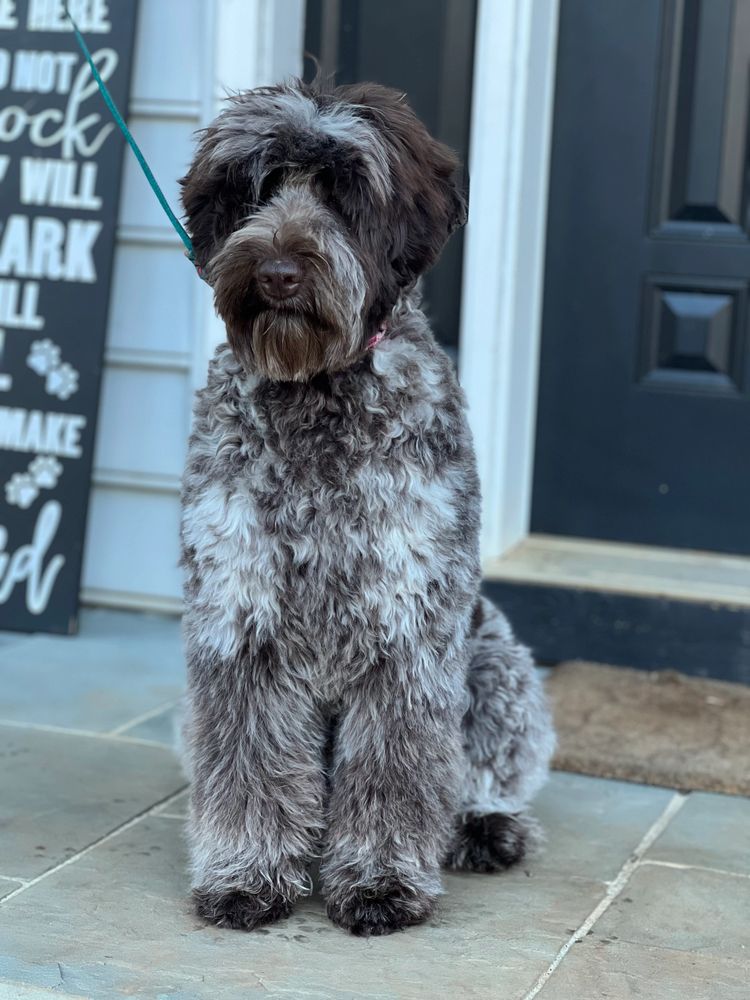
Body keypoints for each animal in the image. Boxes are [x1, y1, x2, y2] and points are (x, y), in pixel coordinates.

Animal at [179, 78, 556, 936]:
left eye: (345, 192)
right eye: (256, 188)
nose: (277, 273)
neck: (318, 395)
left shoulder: (408, 630)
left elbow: (396, 770)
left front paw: (382, 882)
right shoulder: (239, 623)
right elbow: (249, 765)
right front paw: (246, 876)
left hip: (496, 664)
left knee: (481, 773)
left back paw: (484, 826)